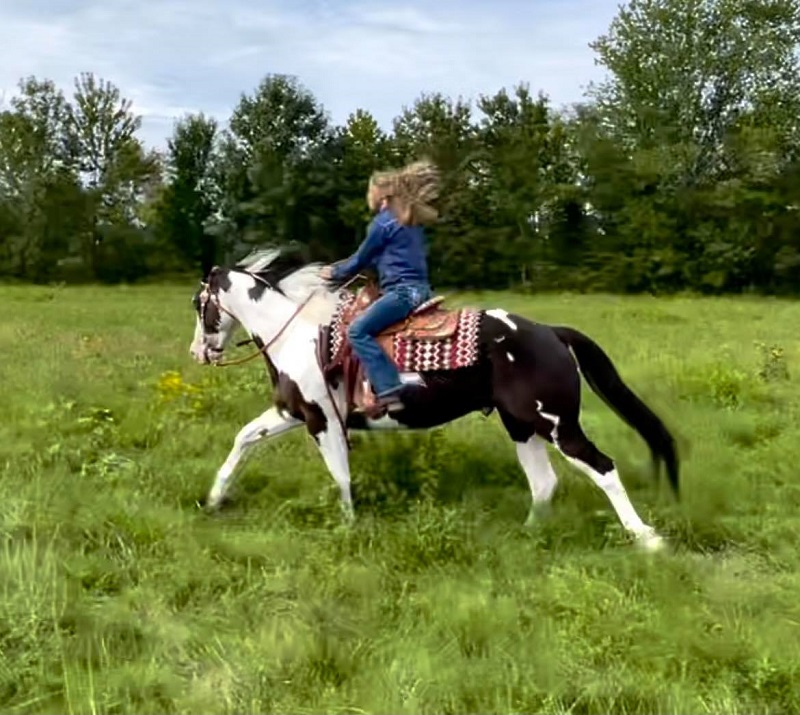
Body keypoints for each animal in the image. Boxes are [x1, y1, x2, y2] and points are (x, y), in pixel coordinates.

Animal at [188, 246, 679, 551]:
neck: (299, 335)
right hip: (522, 426)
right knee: (544, 483)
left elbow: (341, 477)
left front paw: (348, 528)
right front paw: (213, 500)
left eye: (199, 303)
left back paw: (648, 539)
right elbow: (244, 439)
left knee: (604, 469)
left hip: (557, 425)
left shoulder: (321, 419)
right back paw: (526, 537)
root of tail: (551, 332)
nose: (199, 352)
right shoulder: (291, 412)